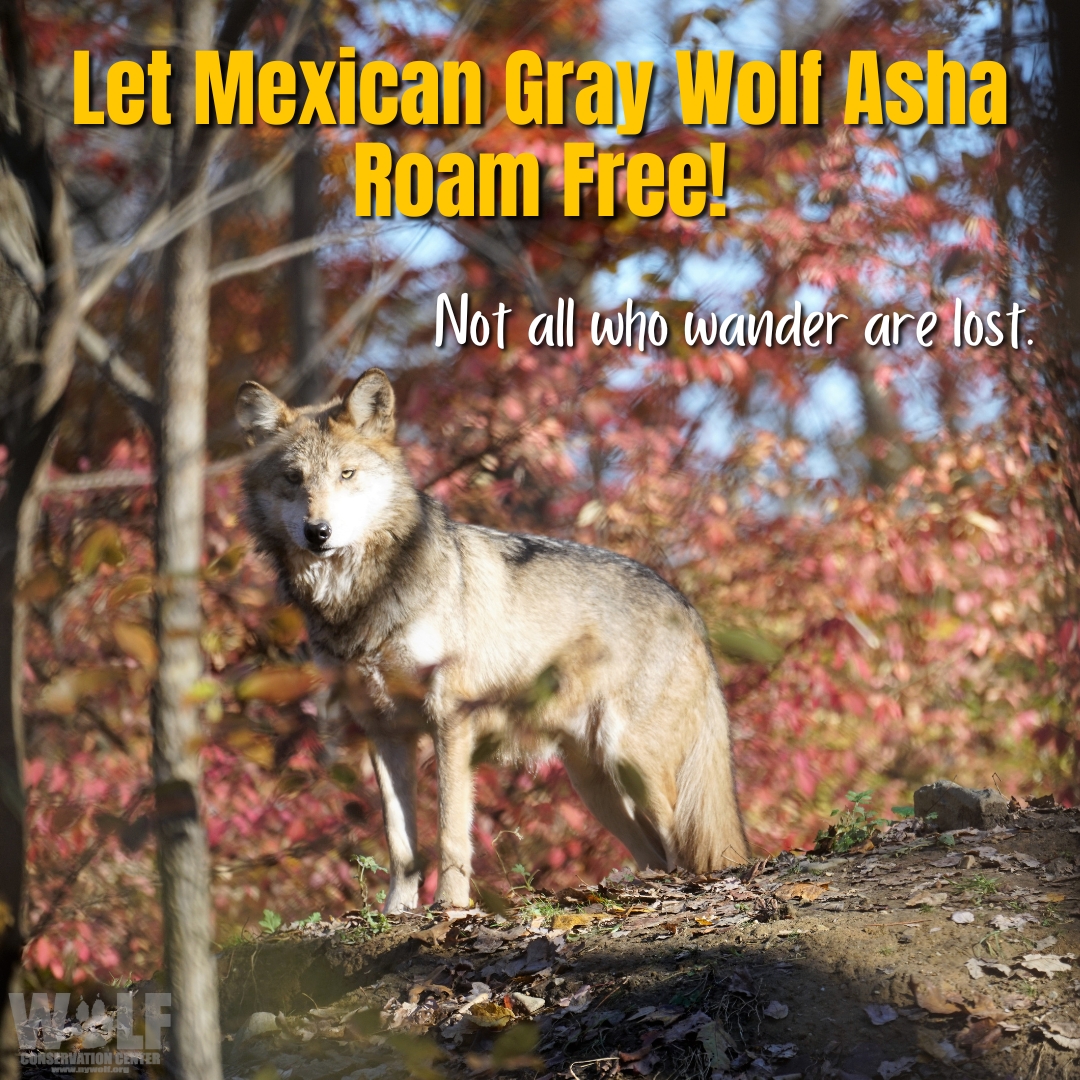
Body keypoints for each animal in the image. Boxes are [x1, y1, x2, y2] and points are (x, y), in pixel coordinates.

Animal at [236, 369, 751, 911]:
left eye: (347, 475)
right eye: (294, 478)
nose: (318, 531)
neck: (363, 597)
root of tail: (689, 609)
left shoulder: (450, 719)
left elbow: (449, 832)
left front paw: (451, 906)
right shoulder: (385, 730)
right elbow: (400, 843)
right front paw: (397, 911)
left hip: (632, 762)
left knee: (686, 849)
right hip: (596, 784)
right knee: (657, 853)